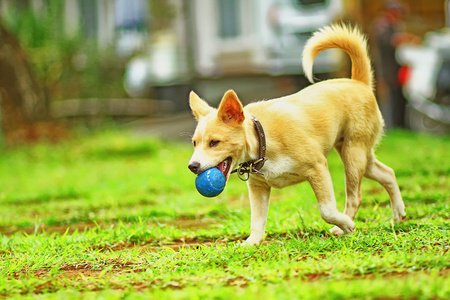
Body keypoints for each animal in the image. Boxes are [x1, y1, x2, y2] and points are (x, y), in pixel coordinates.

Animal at [188, 22, 406, 244]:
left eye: (214, 142)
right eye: (195, 143)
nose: (192, 166)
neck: (262, 139)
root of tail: (358, 83)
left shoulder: (318, 168)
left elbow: (326, 210)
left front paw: (346, 225)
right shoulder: (258, 187)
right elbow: (257, 219)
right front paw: (251, 243)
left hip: (353, 154)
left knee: (355, 197)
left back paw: (343, 227)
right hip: (358, 153)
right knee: (387, 173)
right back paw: (398, 214)